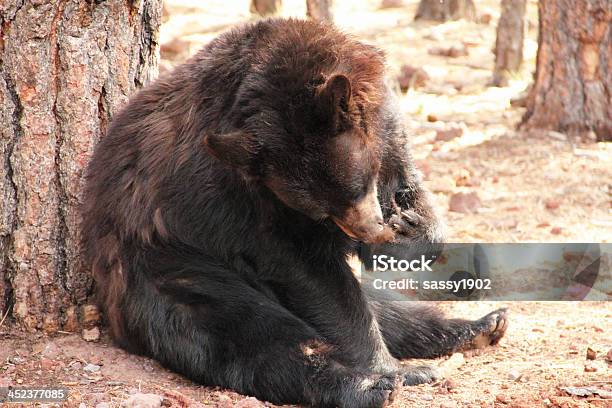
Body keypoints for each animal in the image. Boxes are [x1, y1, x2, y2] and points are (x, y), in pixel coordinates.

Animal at [81, 18, 506, 408]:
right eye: (321, 211)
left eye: (358, 187)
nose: (368, 232)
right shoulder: (243, 202)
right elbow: (308, 272)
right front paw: (389, 370)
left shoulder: (388, 133)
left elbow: (409, 190)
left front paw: (407, 228)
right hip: (176, 270)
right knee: (257, 336)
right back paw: (372, 384)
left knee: (393, 311)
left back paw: (480, 326)